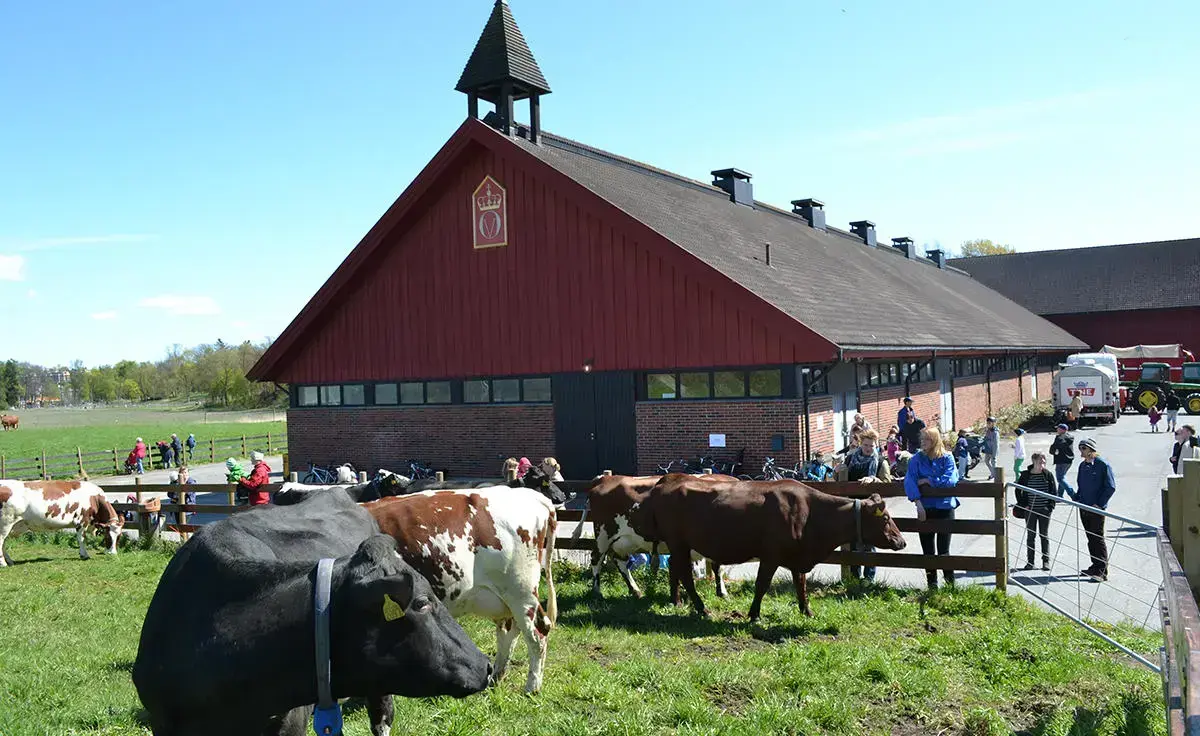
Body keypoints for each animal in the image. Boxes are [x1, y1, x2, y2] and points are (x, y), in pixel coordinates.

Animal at [633, 480, 902, 614]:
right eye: (887, 518)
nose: (902, 541)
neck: (809, 511)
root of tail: (662, 485)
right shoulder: (771, 555)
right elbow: (762, 585)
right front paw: (754, 614)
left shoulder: (797, 556)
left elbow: (801, 584)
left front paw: (807, 611)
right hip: (678, 543)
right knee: (685, 576)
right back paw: (701, 608)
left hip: (679, 545)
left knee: (676, 570)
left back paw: (678, 602)